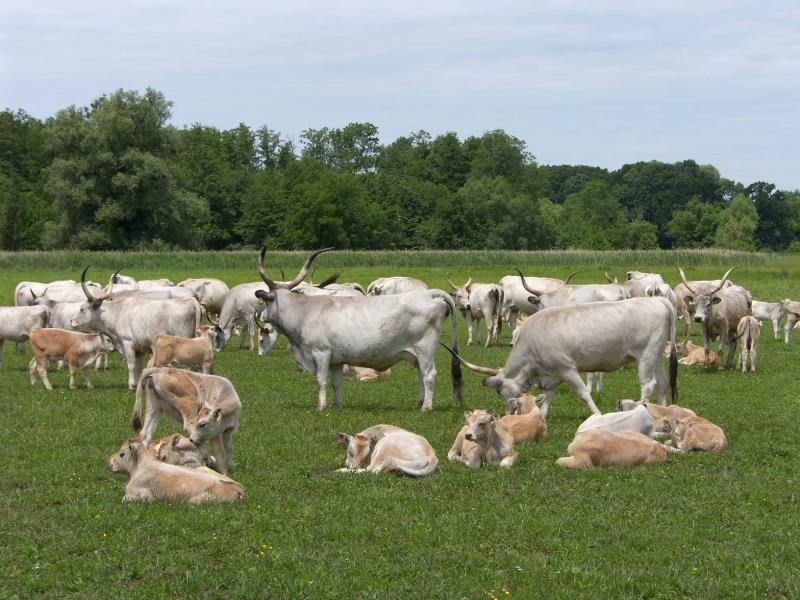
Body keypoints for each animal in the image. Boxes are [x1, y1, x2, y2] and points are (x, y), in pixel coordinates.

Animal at [70, 268, 202, 390]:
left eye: (82, 309)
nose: (72, 321)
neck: (117, 313)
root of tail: (191, 301)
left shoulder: (127, 343)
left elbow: (131, 365)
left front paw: (131, 385)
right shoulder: (140, 348)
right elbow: (139, 368)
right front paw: (139, 384)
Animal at [446, 296, 680, 418]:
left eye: (498, 391)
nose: (509, 413)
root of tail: (658, 300)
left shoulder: (568, 369)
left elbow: (584, 393)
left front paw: (597, 414)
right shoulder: (553, 374)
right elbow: (549, 396)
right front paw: (541, 416)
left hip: (646, 356)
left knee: (648, 385)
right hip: (656, 356)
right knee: (663, 384)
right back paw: (663, 411)